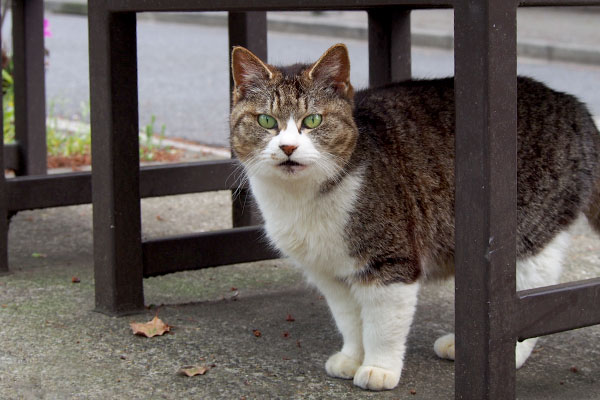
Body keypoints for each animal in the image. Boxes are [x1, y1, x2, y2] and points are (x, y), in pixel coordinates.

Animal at [229, 44, 600, 390]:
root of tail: (575, 107)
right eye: (266, 121)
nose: (288, 148)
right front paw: (352, 358)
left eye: (313, 121)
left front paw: (378, 369)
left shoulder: (390, 261)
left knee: (525, 302)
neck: (301, 199)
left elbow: (381, 326)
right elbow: (349, 320)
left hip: (529, 237)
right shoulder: (329, 273)